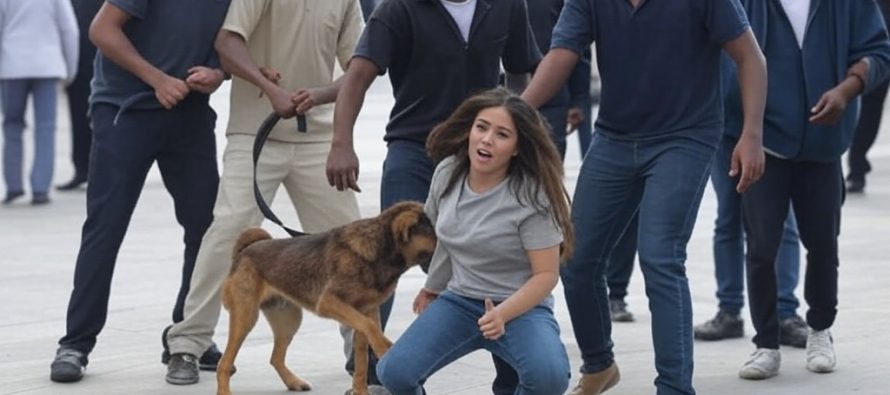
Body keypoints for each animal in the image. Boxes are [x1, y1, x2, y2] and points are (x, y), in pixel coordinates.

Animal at [217, 203, 436, 395]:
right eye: (434, 232)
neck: (381, 248)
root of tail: (244, 251)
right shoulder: (329, 303)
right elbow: (371, 329)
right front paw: (386, 348)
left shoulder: (365, 311)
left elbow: (362, 359)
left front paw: (361, 390)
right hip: (245, 317)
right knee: (225, 364)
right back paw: (225, 390)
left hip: (288, 319)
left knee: (275, 358)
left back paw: (294, 382)